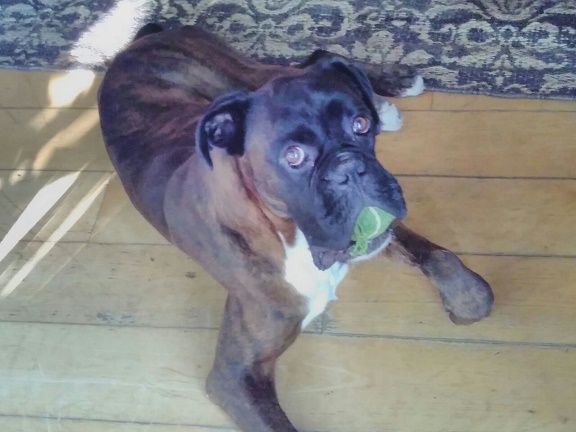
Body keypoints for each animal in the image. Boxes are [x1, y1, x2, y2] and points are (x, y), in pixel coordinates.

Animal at [98, 23, 494, 432]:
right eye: (293, 156)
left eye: (360, 125)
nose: (349, 167)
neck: (290, 237)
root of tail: (137, 41)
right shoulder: (234, 377)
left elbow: (437, 256)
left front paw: (468, 295)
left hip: (237, 78)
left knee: (314, 59)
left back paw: (389, 88)